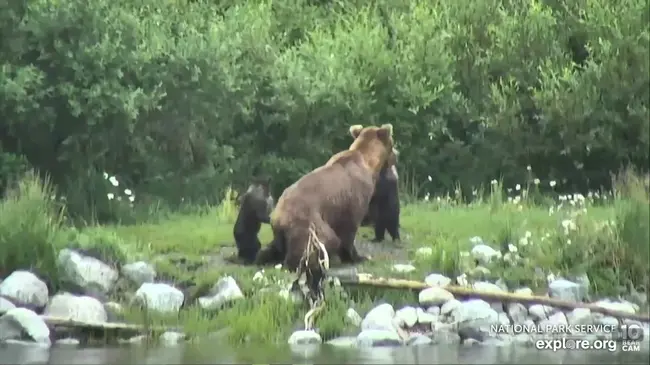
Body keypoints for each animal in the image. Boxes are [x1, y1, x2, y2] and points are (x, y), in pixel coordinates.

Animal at [253, 123, 394, 268]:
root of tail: (278, 219)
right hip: (307, 222)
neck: (369, 163)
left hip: (280, 233)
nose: (396, 154)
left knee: (269, 249)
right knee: (326, 240)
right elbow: (349, 229)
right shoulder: (355, 198)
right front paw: (358, 257)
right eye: (392, 142)